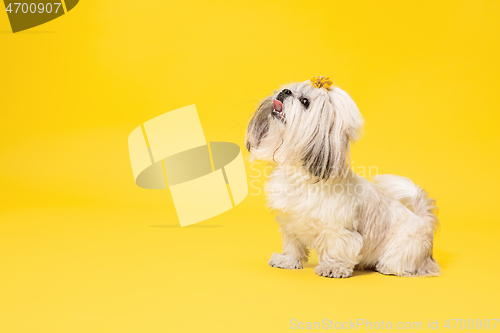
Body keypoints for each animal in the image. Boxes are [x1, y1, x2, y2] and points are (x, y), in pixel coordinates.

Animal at [245, 77, 438, 278]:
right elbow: (293, 244)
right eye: (288, 88)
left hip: (405, 245)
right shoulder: (289, 223)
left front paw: (333, 267)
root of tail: (423, 221)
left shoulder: (338, 230)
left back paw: (387, 267)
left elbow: (336, 247)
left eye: (305, 102)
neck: (299, 174)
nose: (285, 92)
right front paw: (287, 260)